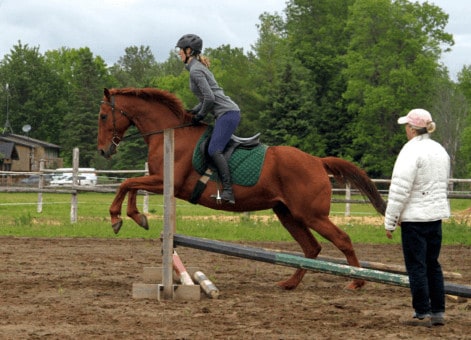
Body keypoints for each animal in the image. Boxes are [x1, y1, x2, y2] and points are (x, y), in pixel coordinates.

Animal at [97, 87, 388, 290]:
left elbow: (127, 183)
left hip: (311, 215)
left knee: (342, 240)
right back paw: (289, 283)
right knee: (311, 249)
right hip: (288, 214)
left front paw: (118, 218)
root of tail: (317, 161)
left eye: (103, 116)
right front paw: (136, 216)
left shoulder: (167, 182)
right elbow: (131, 186)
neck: (170, 132)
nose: (103, 150)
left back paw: (357, 281)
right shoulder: (159, 180)